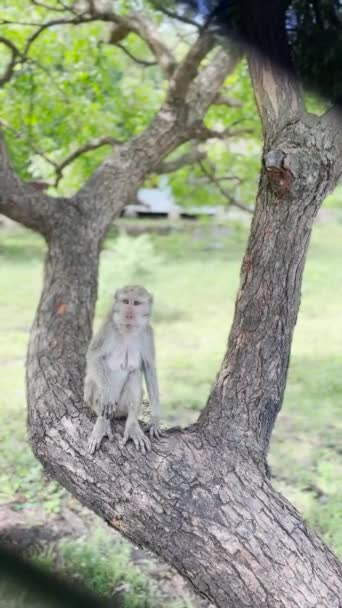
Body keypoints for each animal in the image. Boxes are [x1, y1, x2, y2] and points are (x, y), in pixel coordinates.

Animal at [83, 288, 162, 454]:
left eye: (136, 303)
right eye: (126, 301)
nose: (129, 312)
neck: (127, 330)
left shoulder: (148, 333)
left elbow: (150, 368)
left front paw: (155, 417)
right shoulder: (108, 328)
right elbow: (93, 357)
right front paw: (107, 395)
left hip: (122, 408)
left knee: (135, 373)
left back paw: (132, 426)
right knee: (93, 382)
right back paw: (102, 423)